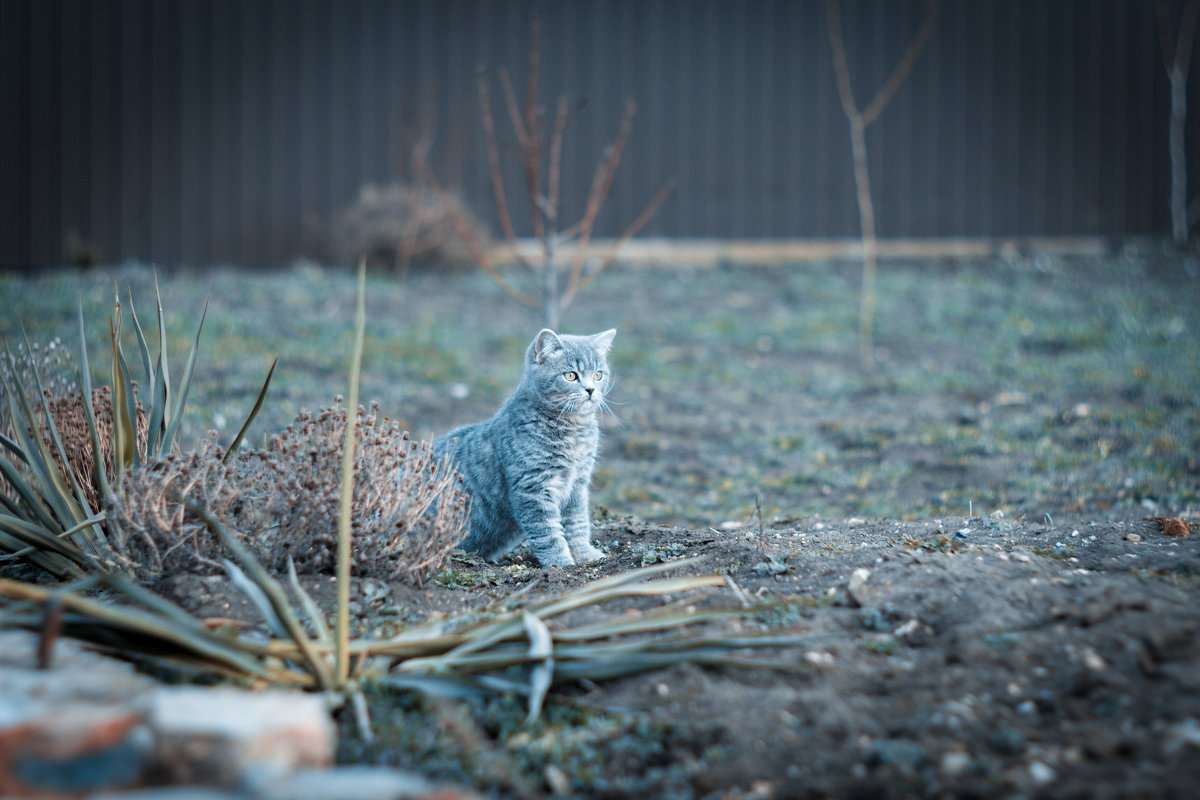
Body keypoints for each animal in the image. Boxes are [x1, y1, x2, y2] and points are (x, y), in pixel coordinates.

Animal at [434, 328, 619, 566]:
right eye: (571, 375)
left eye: (598, 374)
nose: (590, 389)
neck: (573, 431)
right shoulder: (532, 487)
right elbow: (548, 533)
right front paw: (561, 564)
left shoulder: (577, 485)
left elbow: (578, 524)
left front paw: (586, 555)